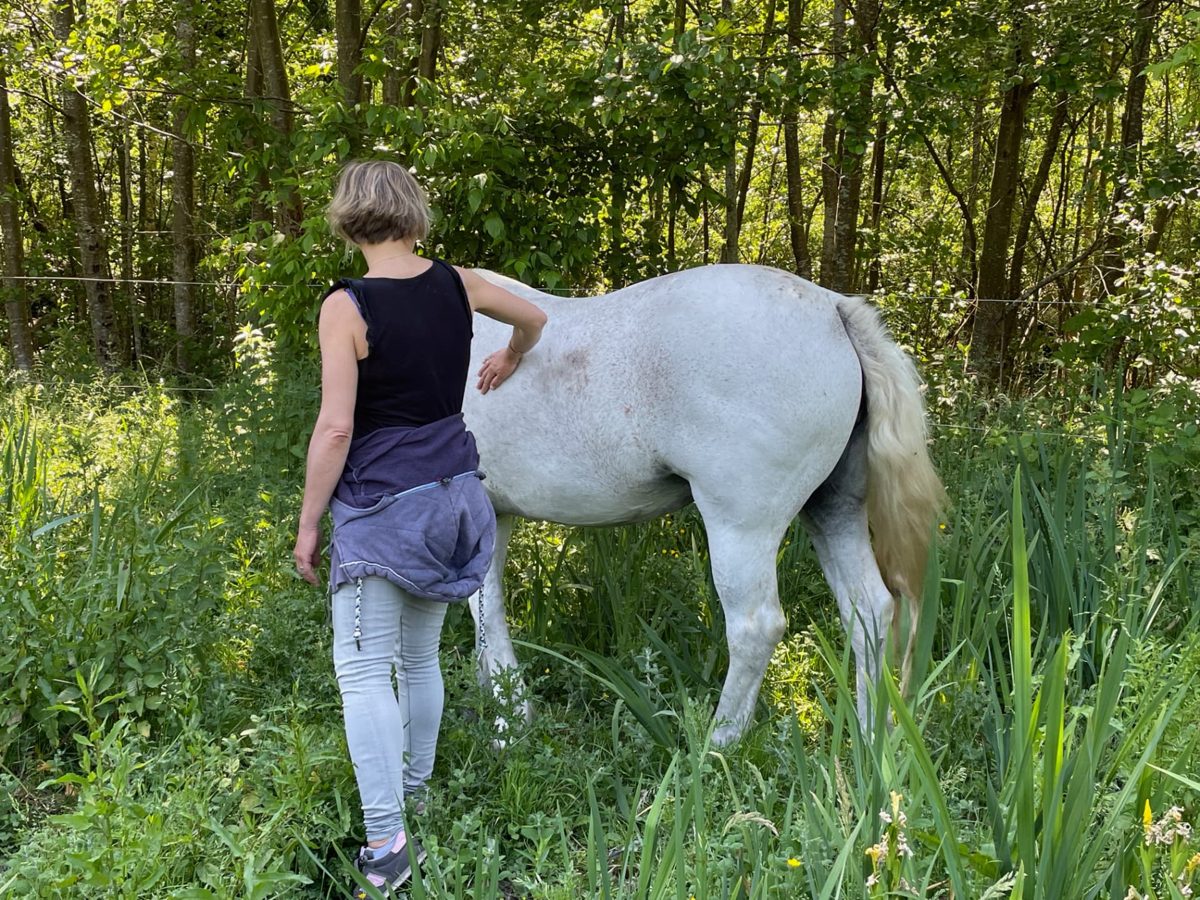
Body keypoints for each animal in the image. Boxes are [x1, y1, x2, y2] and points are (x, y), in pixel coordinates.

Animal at [460, 263, 945, 746]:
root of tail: (833, 308)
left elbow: (489, 610)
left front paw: (508, 721)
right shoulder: (497, 515)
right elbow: (484, 609)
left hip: (742, 528)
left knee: (756, 627)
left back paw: (719, 742)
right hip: (834, 509)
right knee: (870, 611)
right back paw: (870, 737)